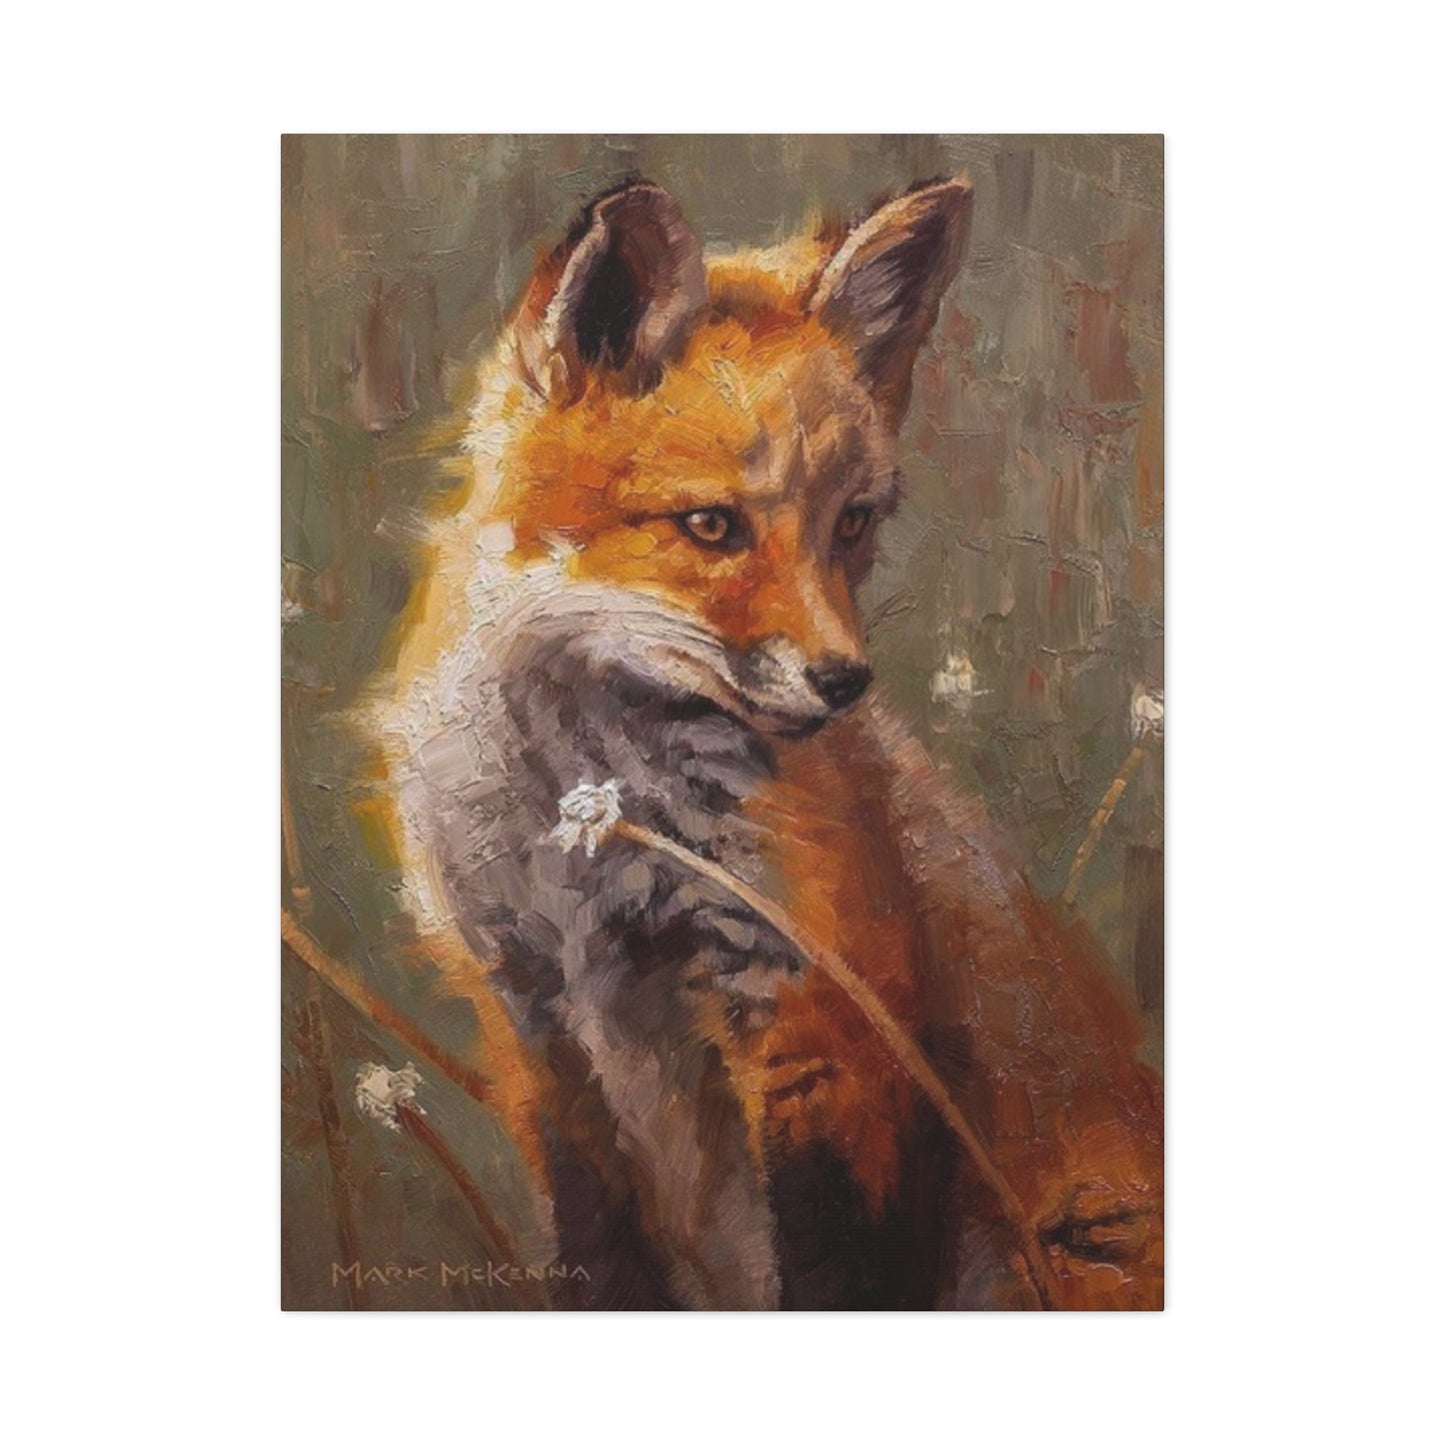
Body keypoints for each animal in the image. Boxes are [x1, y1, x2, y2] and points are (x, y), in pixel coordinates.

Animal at [370, 176, 1163, 1310]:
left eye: (852, 522)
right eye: (711, 525)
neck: (591, 830)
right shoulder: (532, 1022)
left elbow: (836, 1270)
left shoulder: (824, 1016)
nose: (843, 682)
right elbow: (597, 1261)